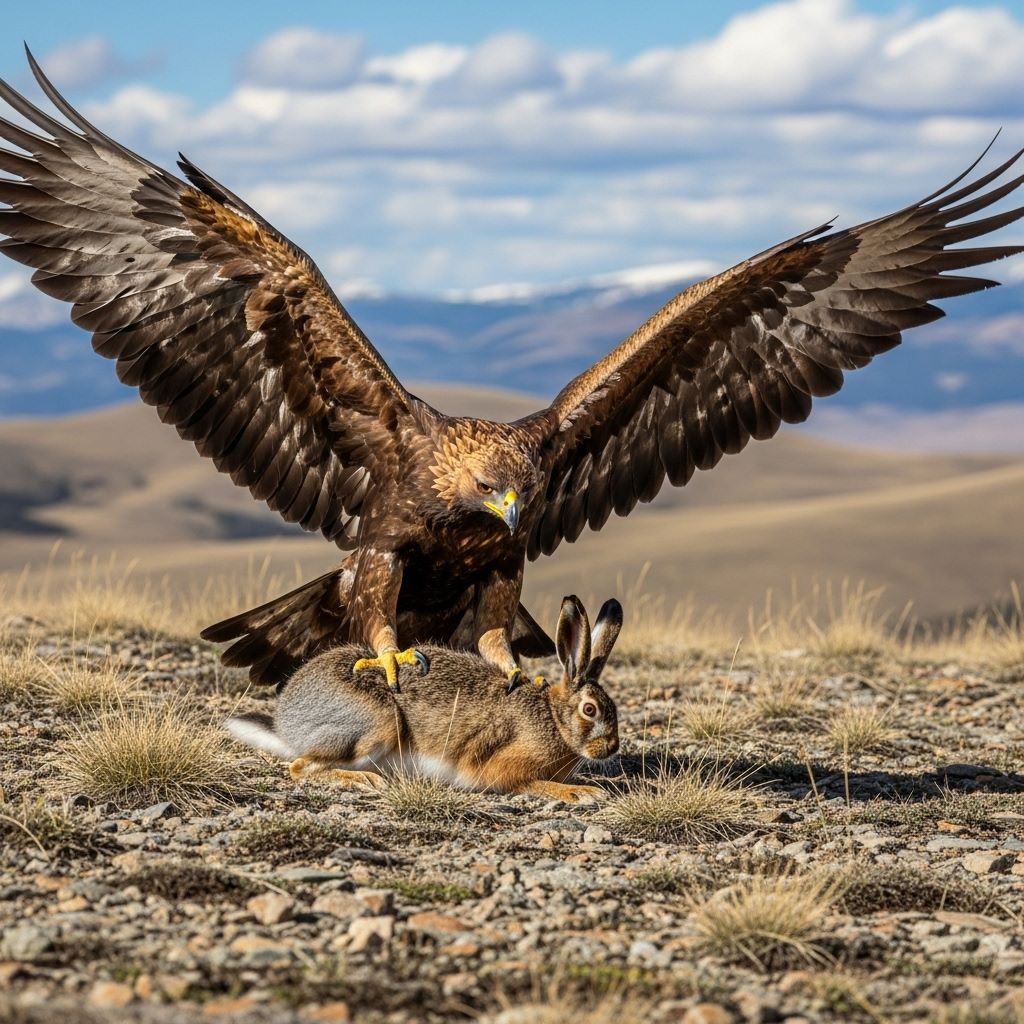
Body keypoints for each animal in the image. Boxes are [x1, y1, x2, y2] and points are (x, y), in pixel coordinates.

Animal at [226, 595, 621, 803]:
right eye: (590, 710)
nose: (612, 748)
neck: (554, 719)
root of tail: (286, 724)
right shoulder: (504, 766)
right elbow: (529, 783)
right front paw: (584, 792)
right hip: (376, 723)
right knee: (299, 767)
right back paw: (363, 781)